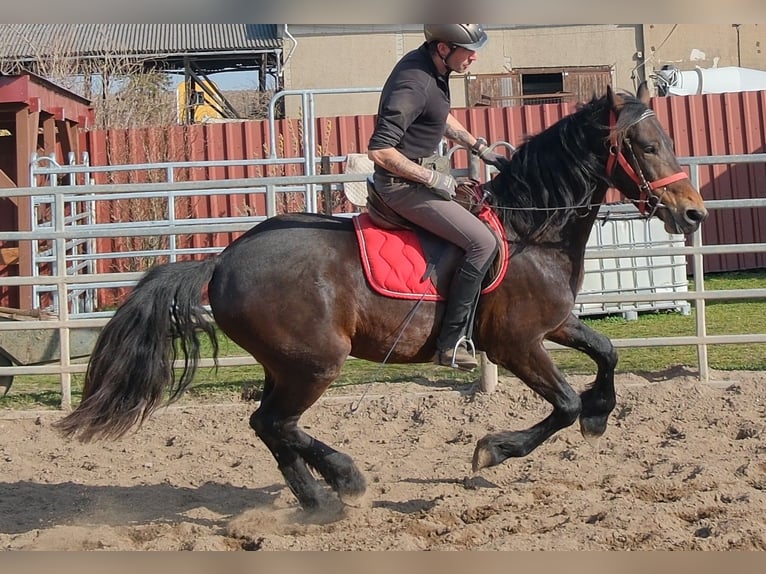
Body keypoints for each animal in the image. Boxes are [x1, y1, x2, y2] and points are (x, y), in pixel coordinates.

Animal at [55, 83, 707, 513]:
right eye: (646, 146)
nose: (694, 214)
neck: (530, 229)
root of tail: (223, 260)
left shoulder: (553, 326)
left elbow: (607, 353)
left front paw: (600, 413)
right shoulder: (516, 343)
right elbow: (565, 403)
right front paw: (493, 450)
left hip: (284, 363)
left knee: (270, 427)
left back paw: (319, 500)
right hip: (314, 363)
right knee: (274, 422)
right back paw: (342, 481)